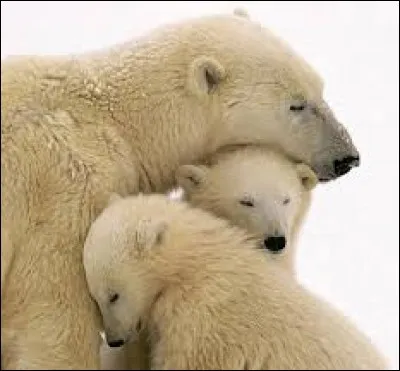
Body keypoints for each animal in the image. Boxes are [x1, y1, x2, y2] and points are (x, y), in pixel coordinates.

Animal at [1, 10, 360, 370]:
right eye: (296, 105)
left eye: (320, 87)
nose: (348, 157)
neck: (120, 121)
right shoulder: (64, 189)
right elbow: (53, 317)